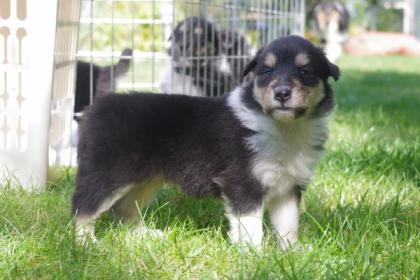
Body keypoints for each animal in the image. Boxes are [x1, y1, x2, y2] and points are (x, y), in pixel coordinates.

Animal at [72, 35, 340, 249]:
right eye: (266, 71)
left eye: (305, 71)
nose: (282, 93)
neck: (285, 127)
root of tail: (95, 108)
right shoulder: (242, 183)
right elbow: (251, 226)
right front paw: (254, 256)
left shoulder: (288, 186)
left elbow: (289, 224)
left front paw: (292, 252)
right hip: (108, 174)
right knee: (83, 206)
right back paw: (86, 243)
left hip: (145, 178)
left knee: (124, 208)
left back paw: (143, 235)